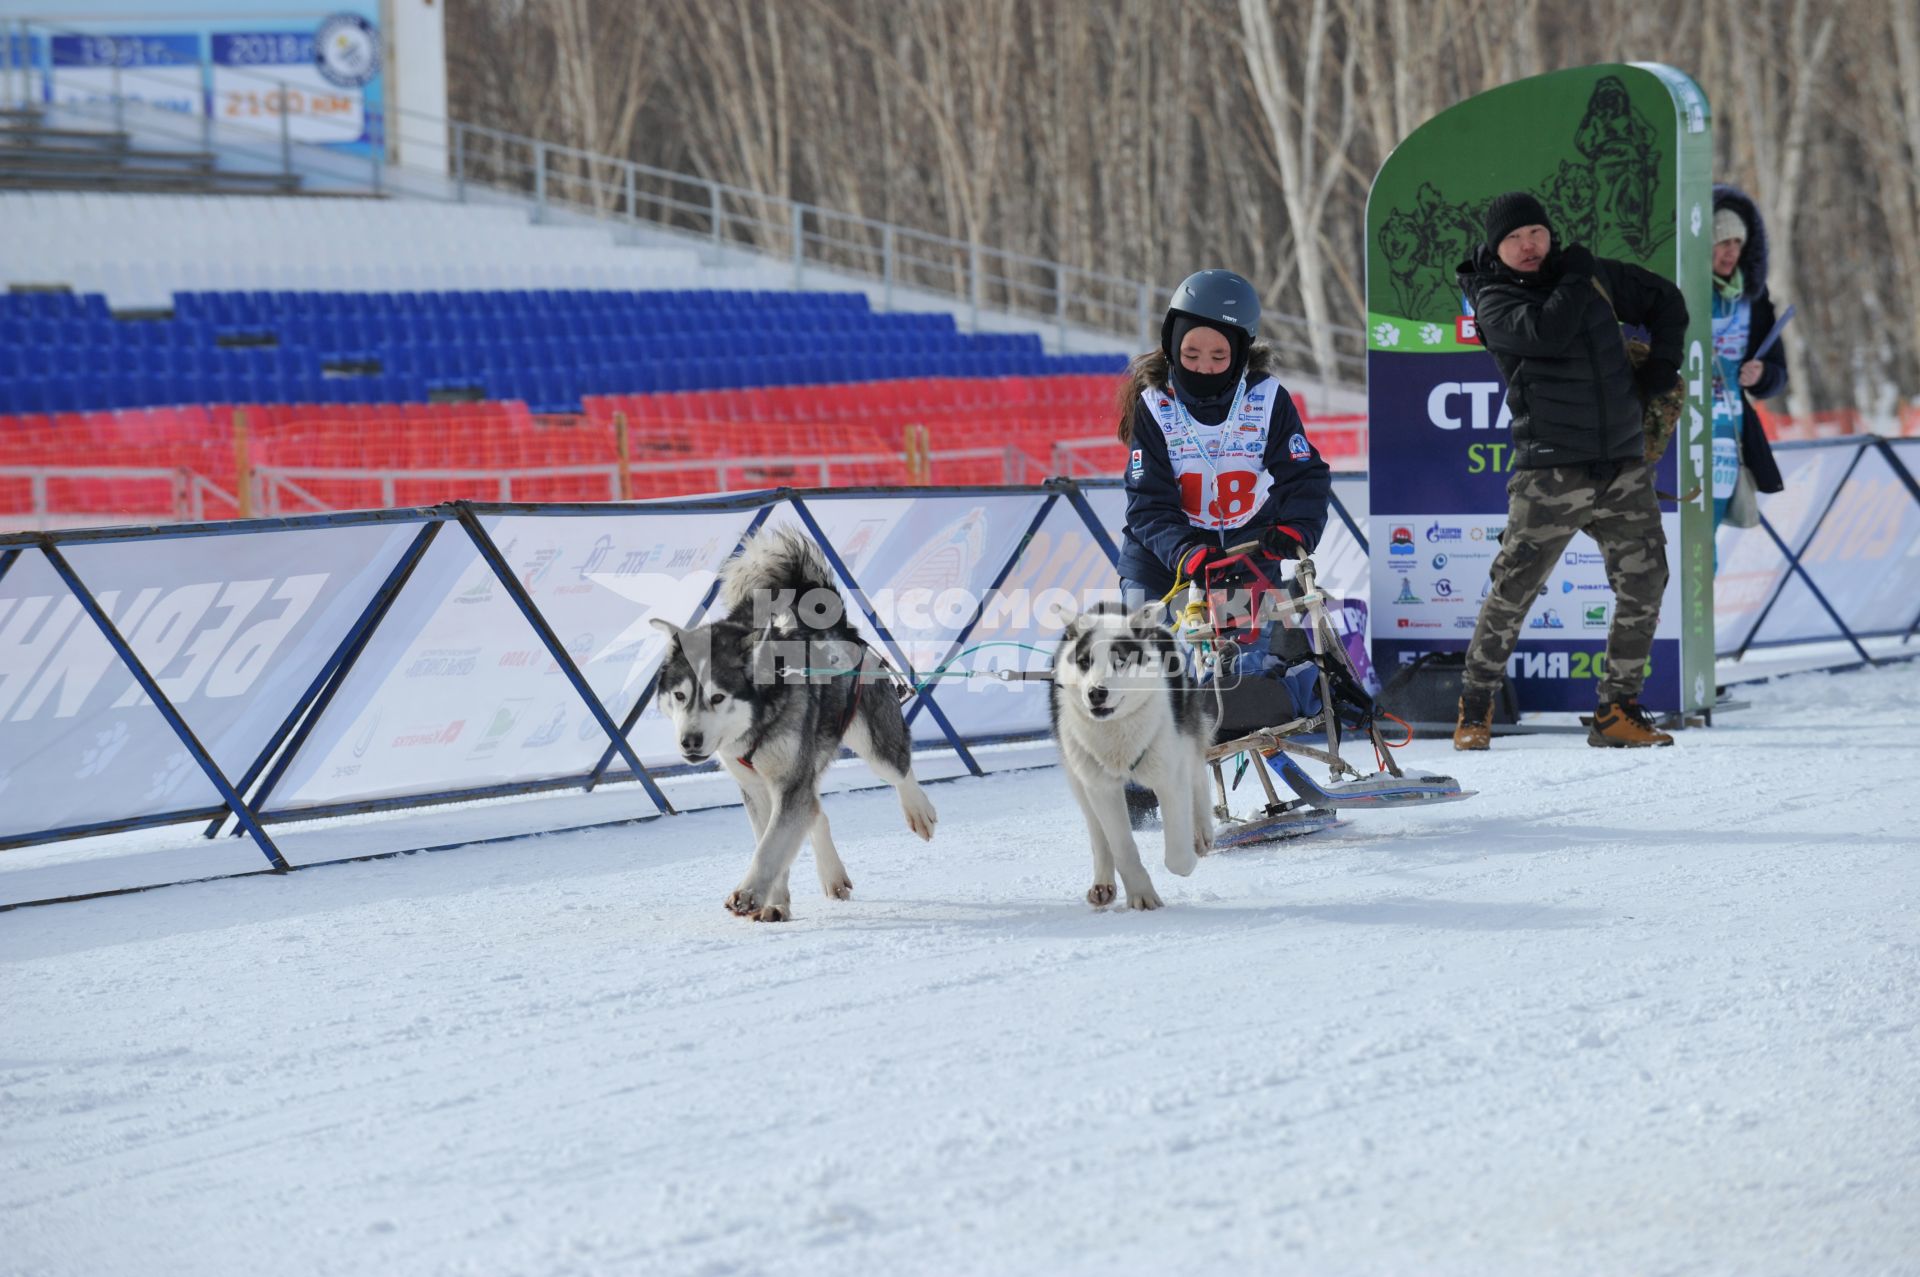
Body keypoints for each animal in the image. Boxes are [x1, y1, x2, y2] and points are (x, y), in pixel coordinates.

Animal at [652, 522, 936, 921]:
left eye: (718, 697)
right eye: (679, 696)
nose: (689, 742)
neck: (759, 724)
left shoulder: (787, 783)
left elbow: (771, 847)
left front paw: (748, 893)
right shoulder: (758, 789)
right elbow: (772, 841)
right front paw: (774, 903)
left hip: (872, 741)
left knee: (898, 768)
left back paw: (918, 810)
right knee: (814, 810)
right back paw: (832, 875)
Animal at [1052, 599, 1213, 906]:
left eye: (1121, 660)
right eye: (1084, 662)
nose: (1096, 693)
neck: (1117, 734)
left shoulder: (1169, 776)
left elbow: (1178, 857)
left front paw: (1187, 858)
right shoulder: (1101, 788)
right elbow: (1121, 848)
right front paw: (1141, 894)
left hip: (1186, 736)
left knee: (1198, 775)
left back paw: (1201, 831)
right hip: (1078, 778)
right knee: (1097, 832)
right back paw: (1102, 883)